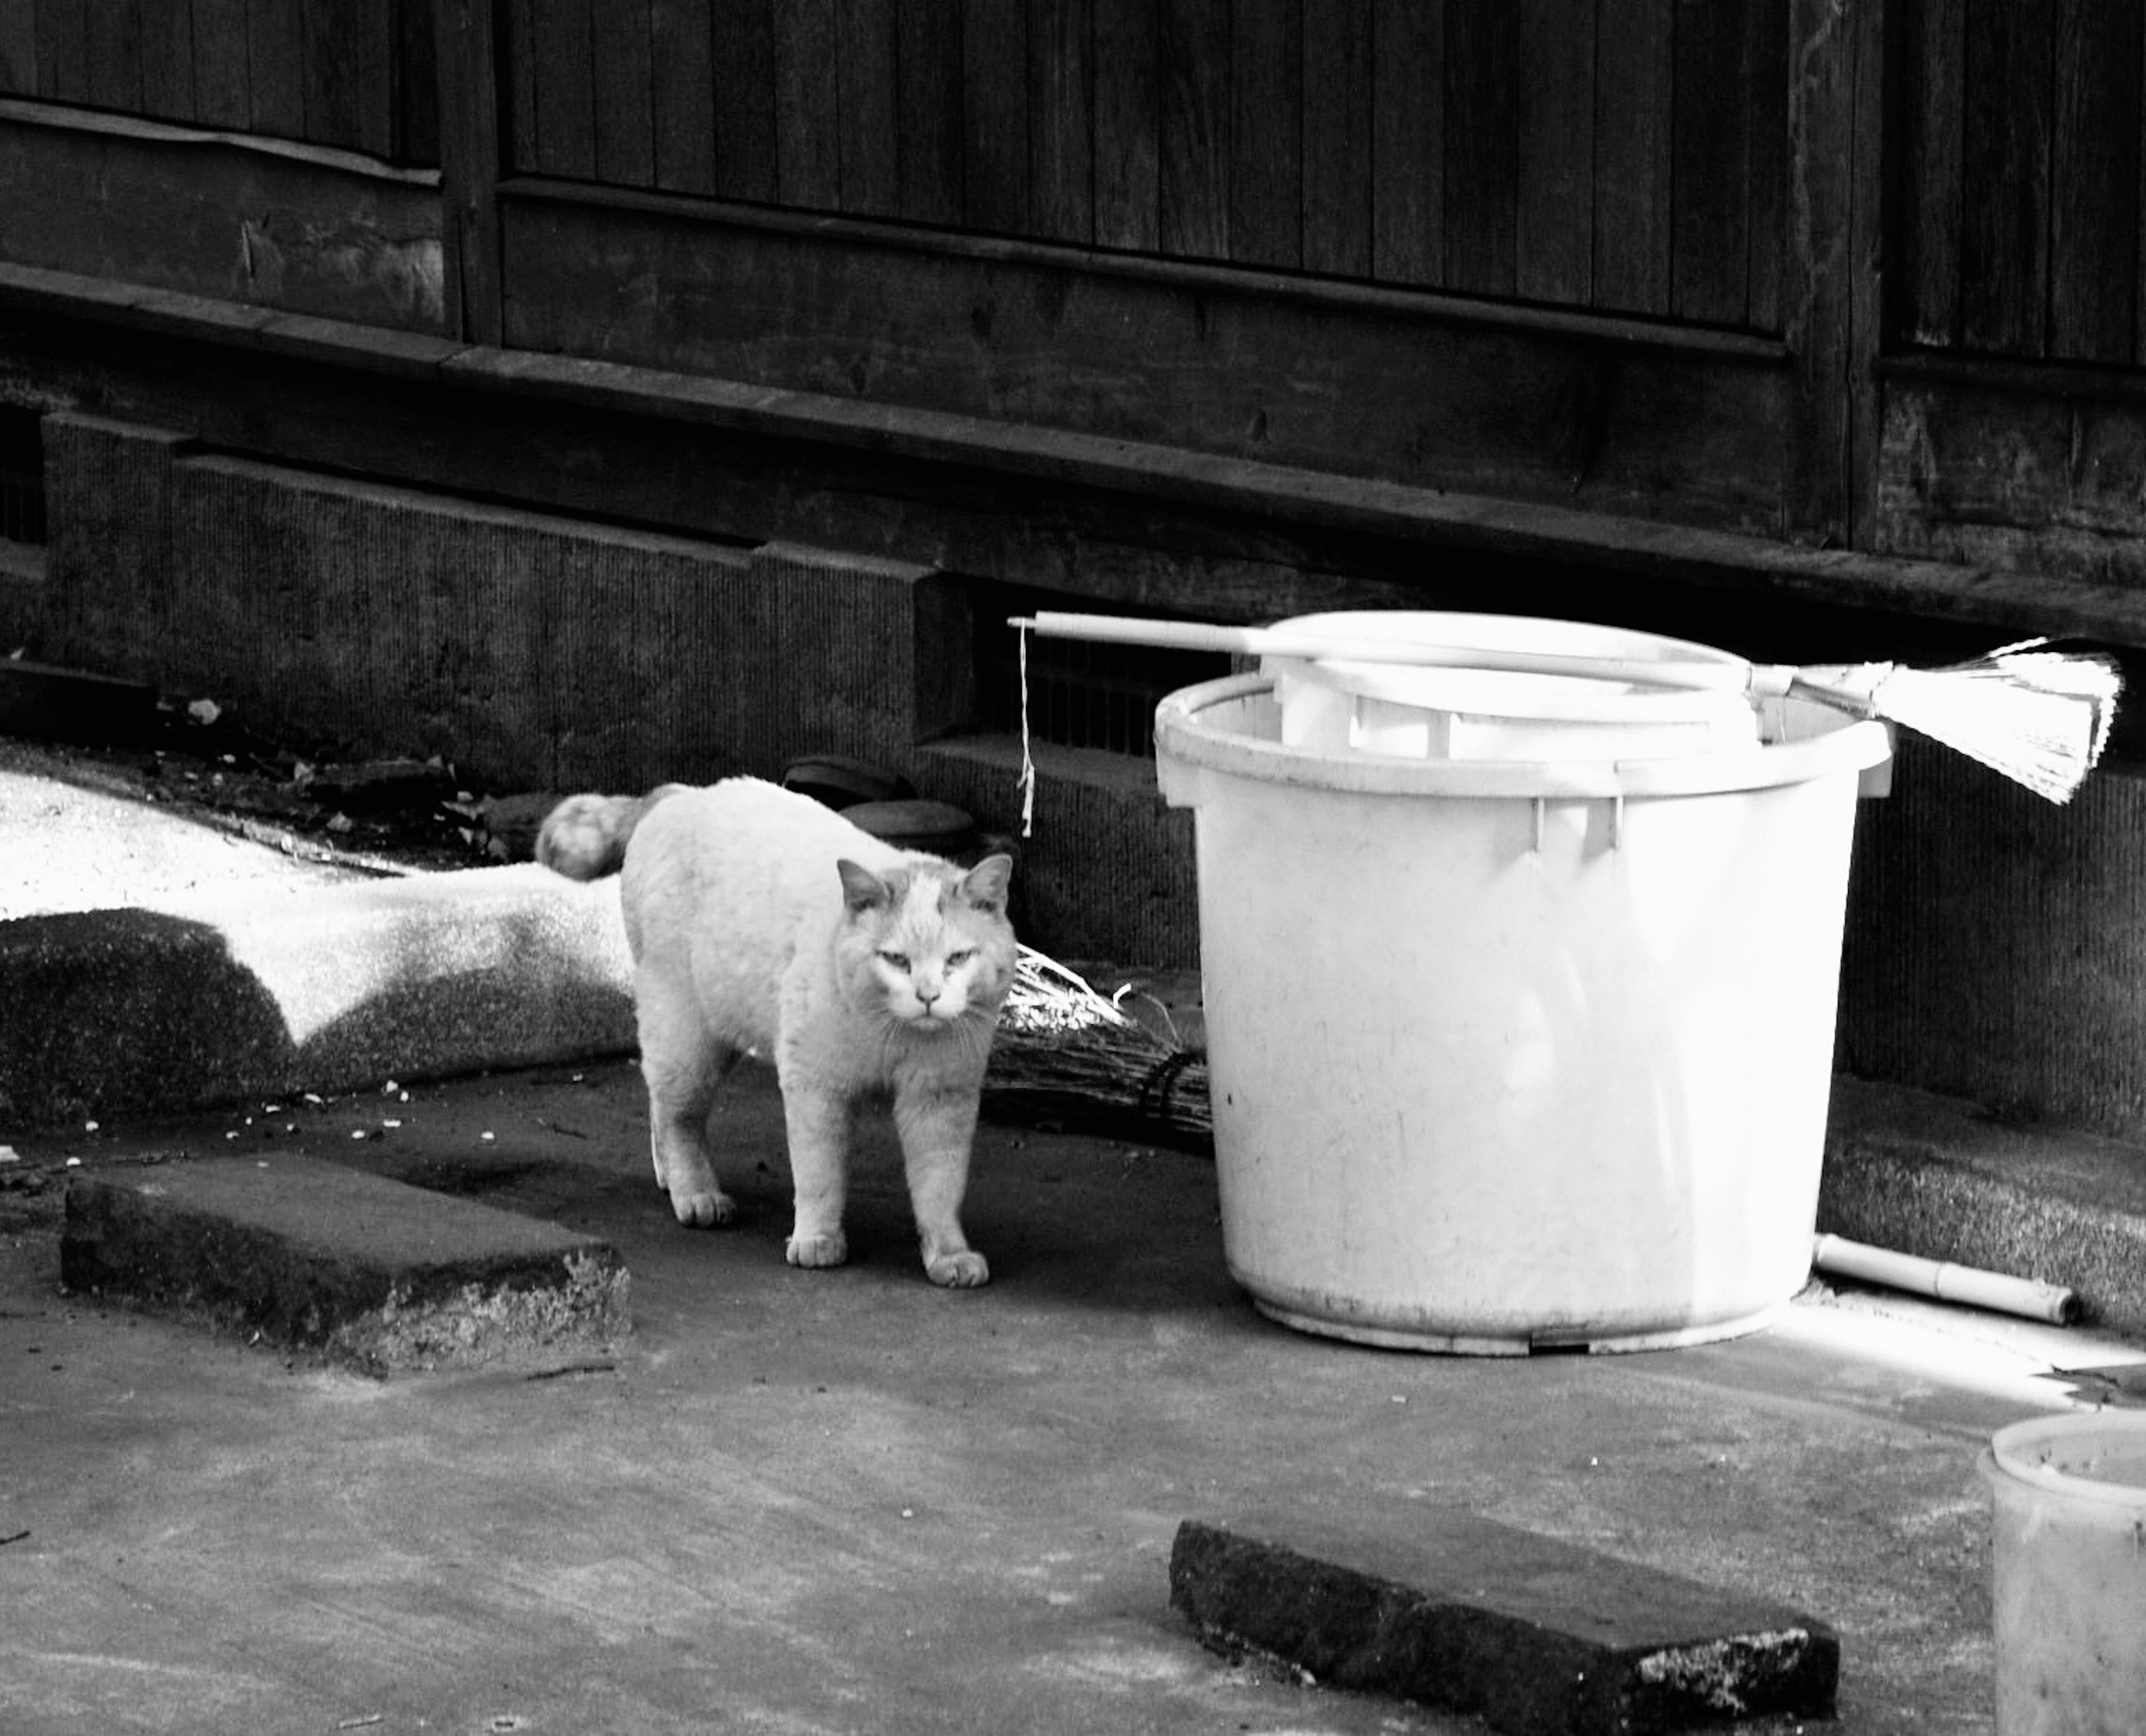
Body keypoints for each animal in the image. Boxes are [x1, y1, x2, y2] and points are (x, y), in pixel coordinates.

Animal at [532, 777, 1008, 1278]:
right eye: (896, 959)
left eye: (958, 958)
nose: (928, 995)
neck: (892, 1035)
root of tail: (682, 793)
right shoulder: (817, 1089)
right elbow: (820, 1176)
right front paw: (817, 1241)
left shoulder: (940, 1101)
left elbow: (940, 1189)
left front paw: (949, 1256)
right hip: (688, 1042)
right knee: (678, 1118)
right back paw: (697, 1195)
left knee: (660, 1108)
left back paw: (668, 1179)